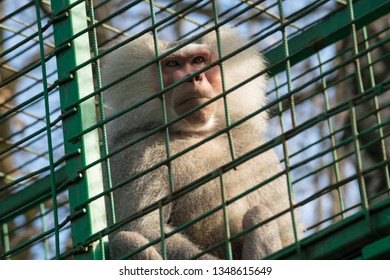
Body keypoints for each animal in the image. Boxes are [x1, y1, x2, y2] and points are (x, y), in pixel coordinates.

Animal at [102, 27, 300, 260]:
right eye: (173, 64)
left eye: (199, 60)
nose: (193, 78)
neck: (197, 134)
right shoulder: (136, 155)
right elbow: (143, 227)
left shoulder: (254, 149)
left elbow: (287, 231)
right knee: (125, 240)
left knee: (260, 213)